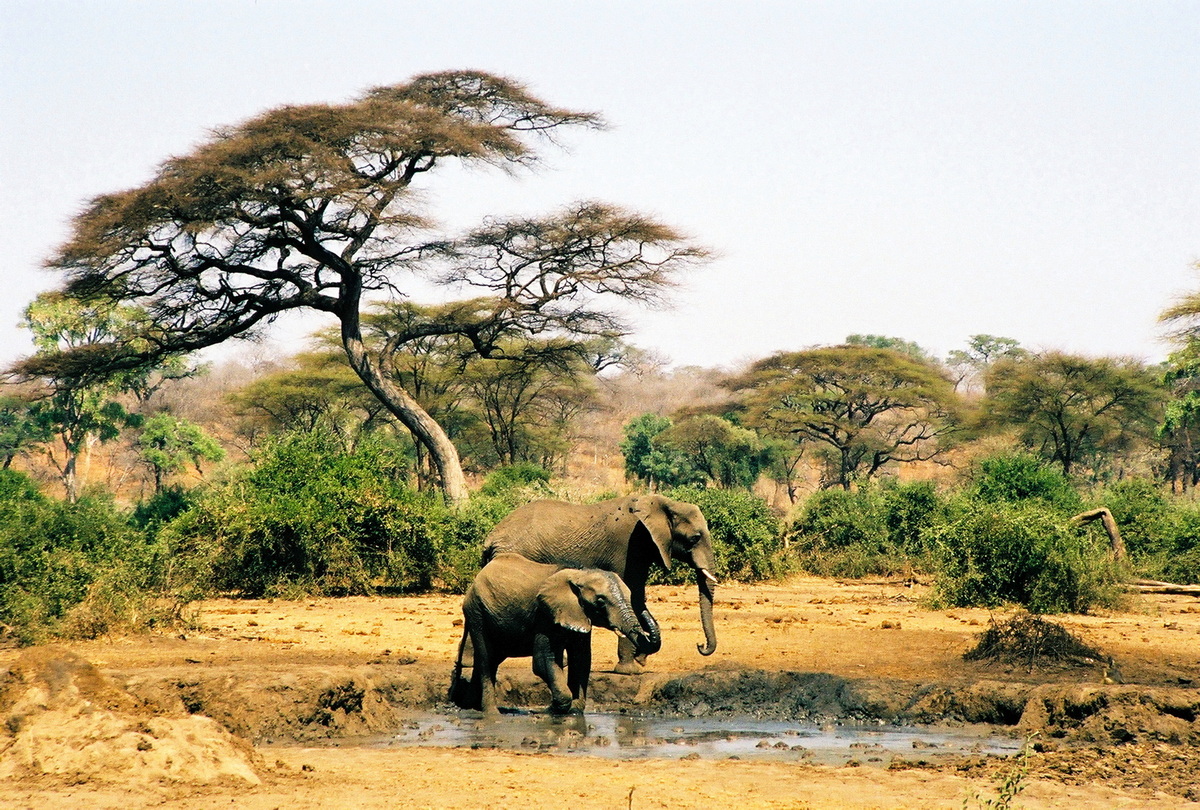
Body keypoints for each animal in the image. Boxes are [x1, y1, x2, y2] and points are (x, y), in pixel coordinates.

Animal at [449, 553, 660, 715]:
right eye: (600, 601)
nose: (643, 611)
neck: (580, 574)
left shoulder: (579, 614)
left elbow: (581, 660)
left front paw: (573, 710)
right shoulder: (545, 615)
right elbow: (543, 661)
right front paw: (552, 710)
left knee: (491, 660)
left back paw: (470, 706)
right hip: (476, 612)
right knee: (486, 659)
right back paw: (491, 714)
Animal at [481, 494, 717, 674]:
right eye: (695, 538)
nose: (700, 645)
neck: (660, 502)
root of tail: (490, 538)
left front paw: (640, 659)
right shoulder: (628, 545)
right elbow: (633, 593)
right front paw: (630, 671)